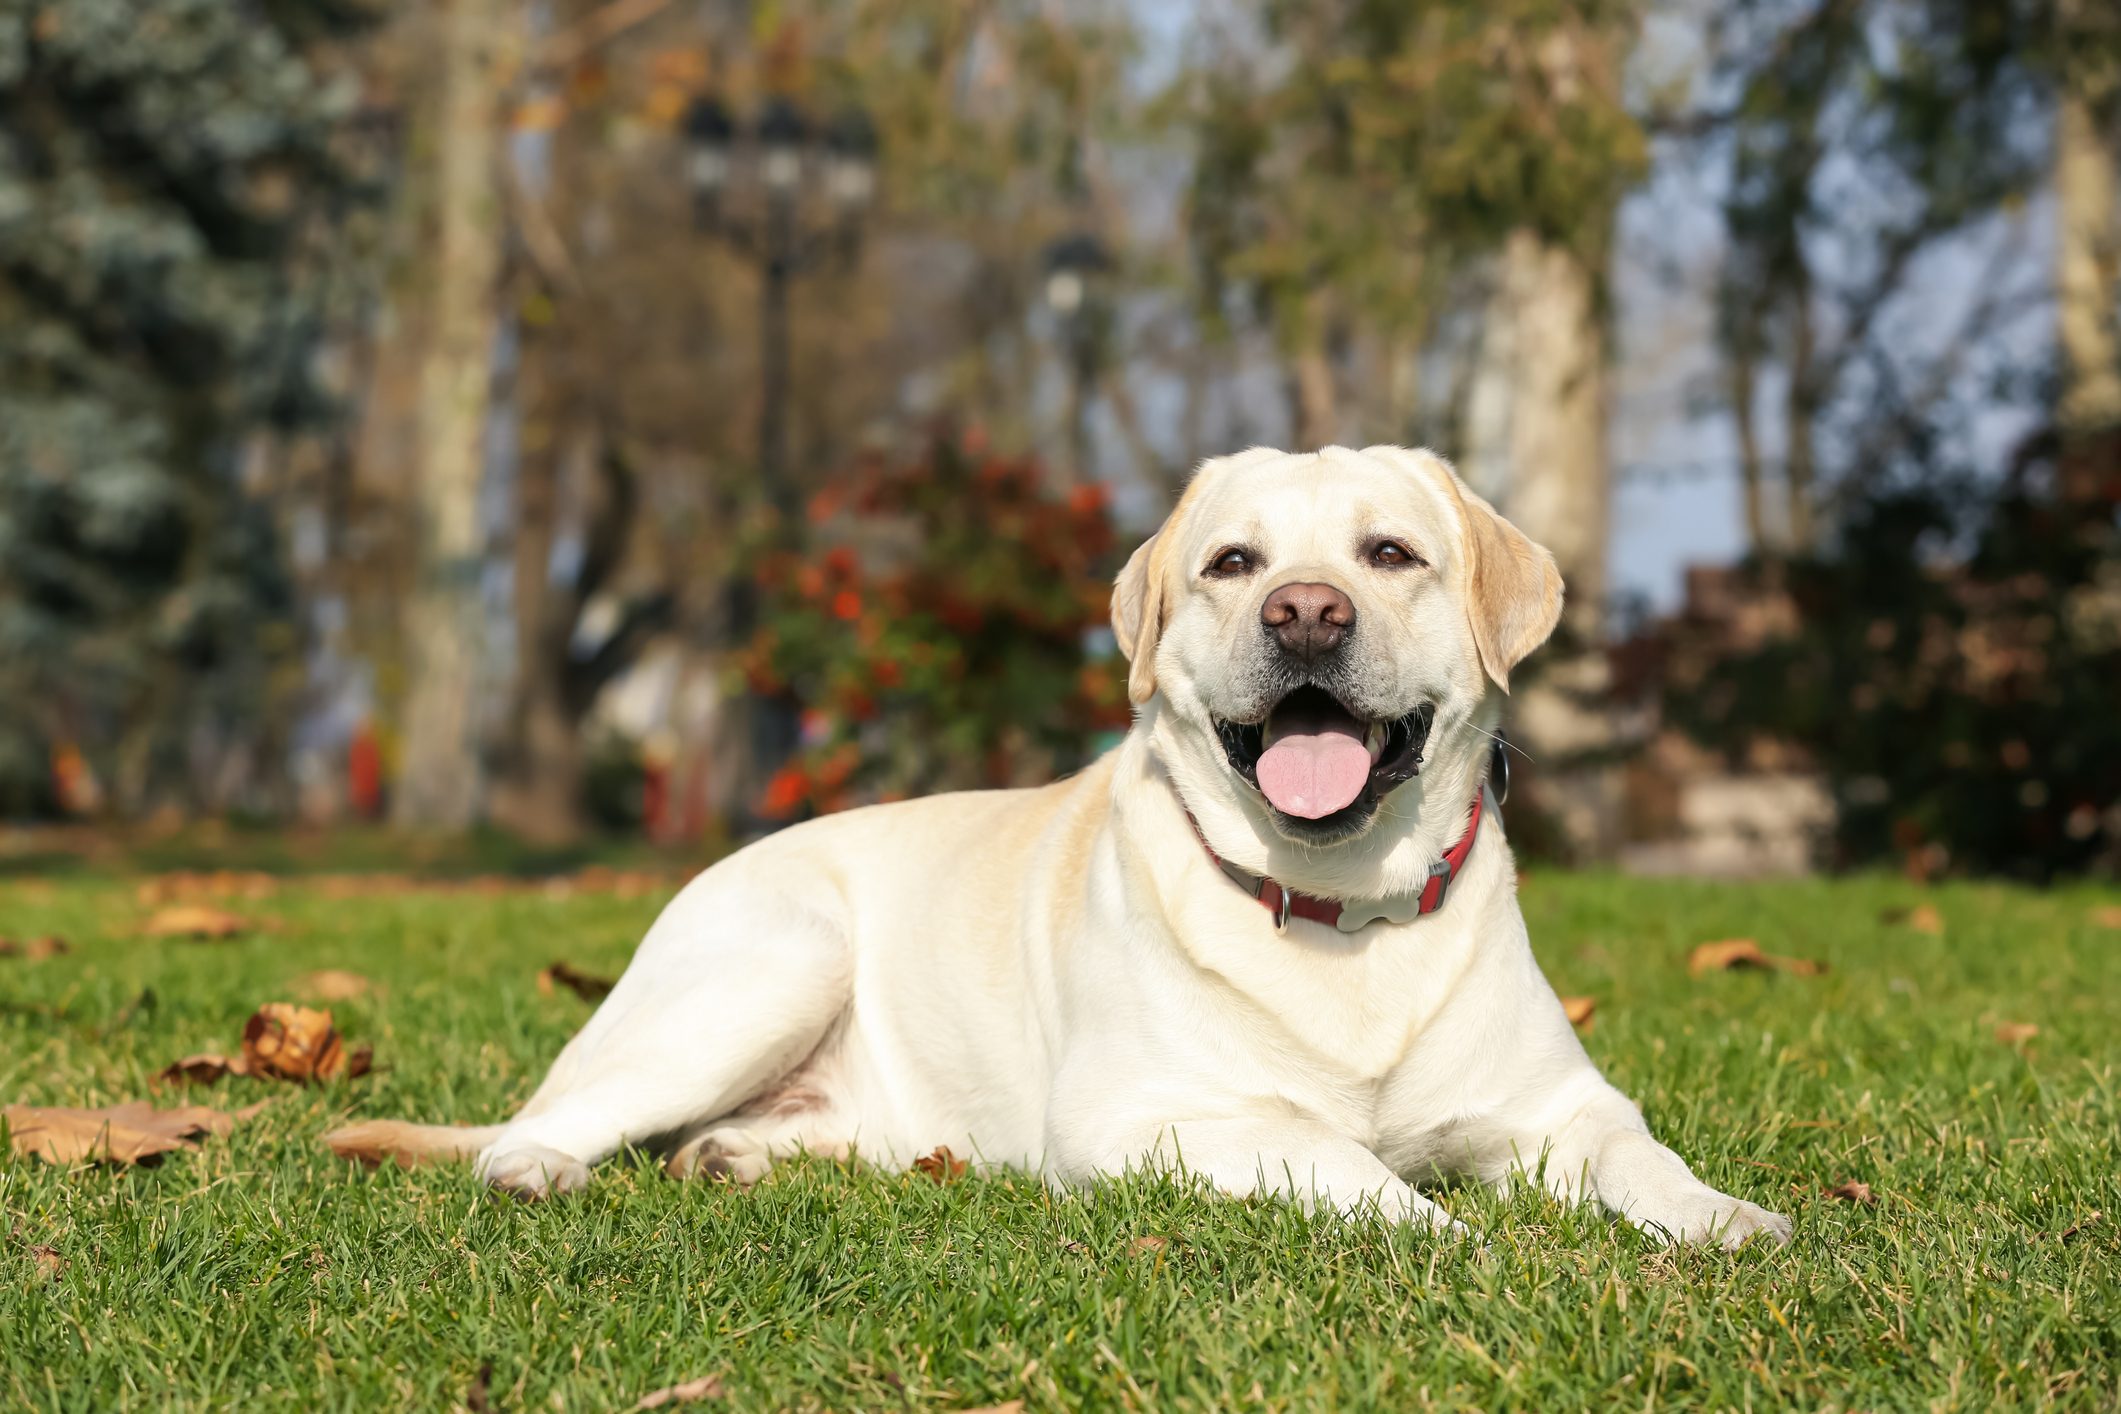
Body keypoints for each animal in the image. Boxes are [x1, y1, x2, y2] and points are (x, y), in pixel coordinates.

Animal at [330, 445, 1790, 1246]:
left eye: (1390, 552)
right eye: (1232, 561)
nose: (1304, 611)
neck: (1336, 906)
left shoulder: (1568, 1108)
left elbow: (1646, 1162)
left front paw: (1733, 1220)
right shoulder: (1144, 1117)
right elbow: (1343, 1159)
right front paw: (1455, 1230)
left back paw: (737, 1154)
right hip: (769, 963)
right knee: (545, 1121)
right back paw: (543, 1167)